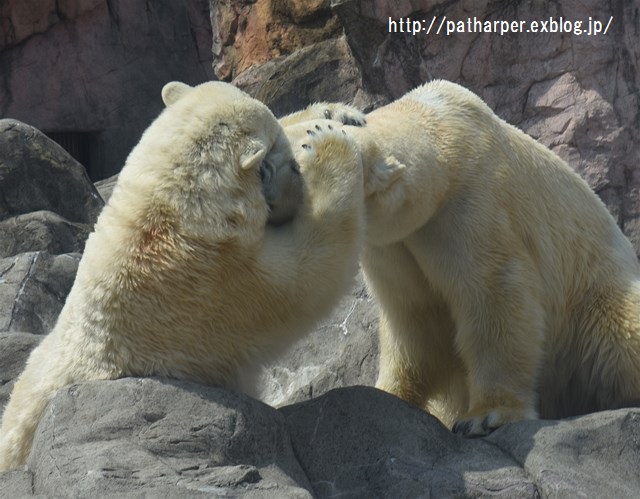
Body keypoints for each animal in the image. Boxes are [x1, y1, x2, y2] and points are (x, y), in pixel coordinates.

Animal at [0, 80, 364, 470]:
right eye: (283, 159)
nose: (291, 168)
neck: (168, 218)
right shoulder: (217, 284)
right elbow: (306, 279)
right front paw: (330, 145)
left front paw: (333, 115)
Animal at [282, 79, 640, 438]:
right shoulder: (393, 244)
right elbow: (414, 317)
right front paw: (386, 391)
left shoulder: (470, 205)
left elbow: (494, 295)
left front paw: (484, 415)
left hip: (594, 298)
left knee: (623, 329)